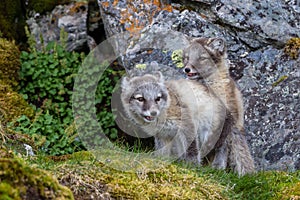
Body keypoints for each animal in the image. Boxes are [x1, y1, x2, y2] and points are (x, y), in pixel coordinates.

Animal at [182, 37, 254, 175]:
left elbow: (222, 147)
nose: (187, 69)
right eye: (187, 58)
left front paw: (218, 167)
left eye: (202, 58)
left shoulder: (225, 123)